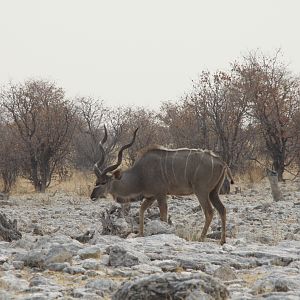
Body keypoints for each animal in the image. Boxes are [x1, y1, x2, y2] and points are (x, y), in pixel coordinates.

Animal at [90, 126, 233, 244]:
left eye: (103, 182)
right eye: (96, 181)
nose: (92, 196)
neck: (140, 175)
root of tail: (222, 163)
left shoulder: (160, 194)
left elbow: (163, 215)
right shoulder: (150, 196)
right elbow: (142, 210)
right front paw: (140, 234)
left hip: (201, 191)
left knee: (209, 211)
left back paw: (201, 238)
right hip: (213, 192)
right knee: (222, 209)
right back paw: (222, 241)